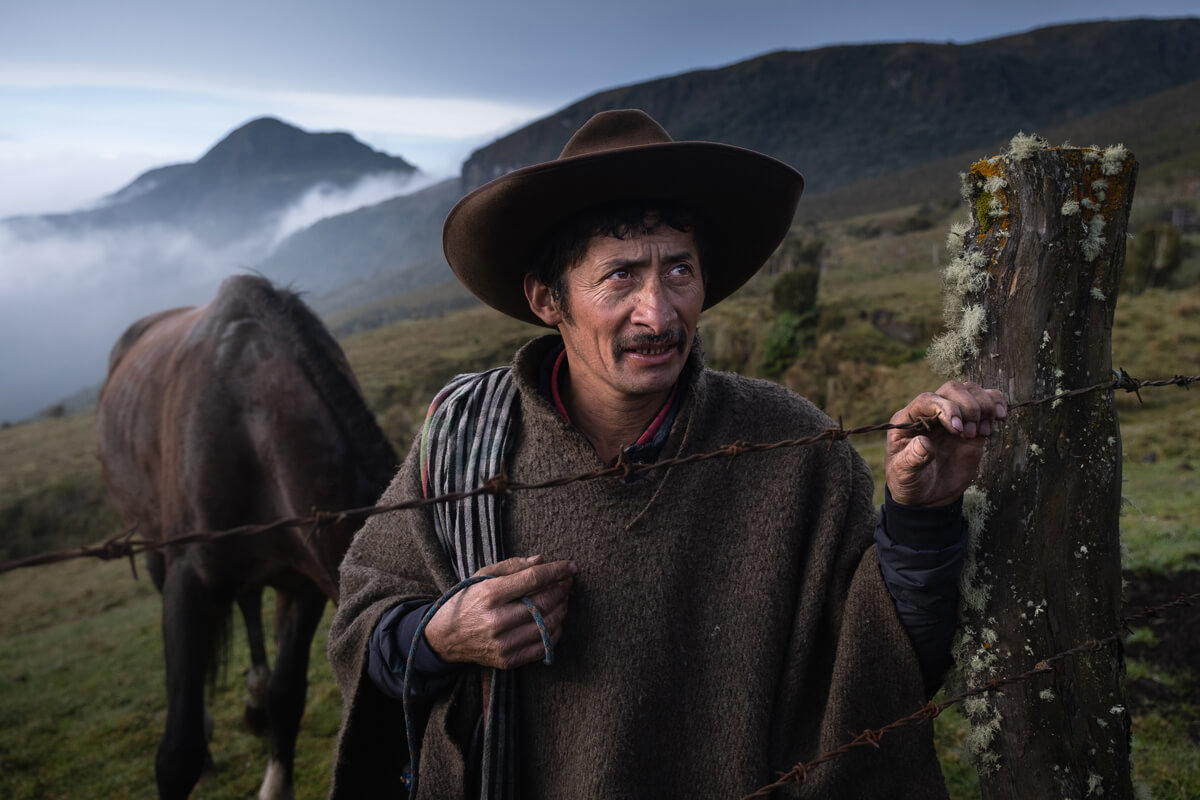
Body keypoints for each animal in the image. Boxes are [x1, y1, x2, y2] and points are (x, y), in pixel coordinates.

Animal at [97, 275, 398, 800]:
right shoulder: (189, 583)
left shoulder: (305, 586)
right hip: (153, 548)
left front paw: (276, 779)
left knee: (250, 604)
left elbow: (287, 694)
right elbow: (177, 751)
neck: (251, 424)